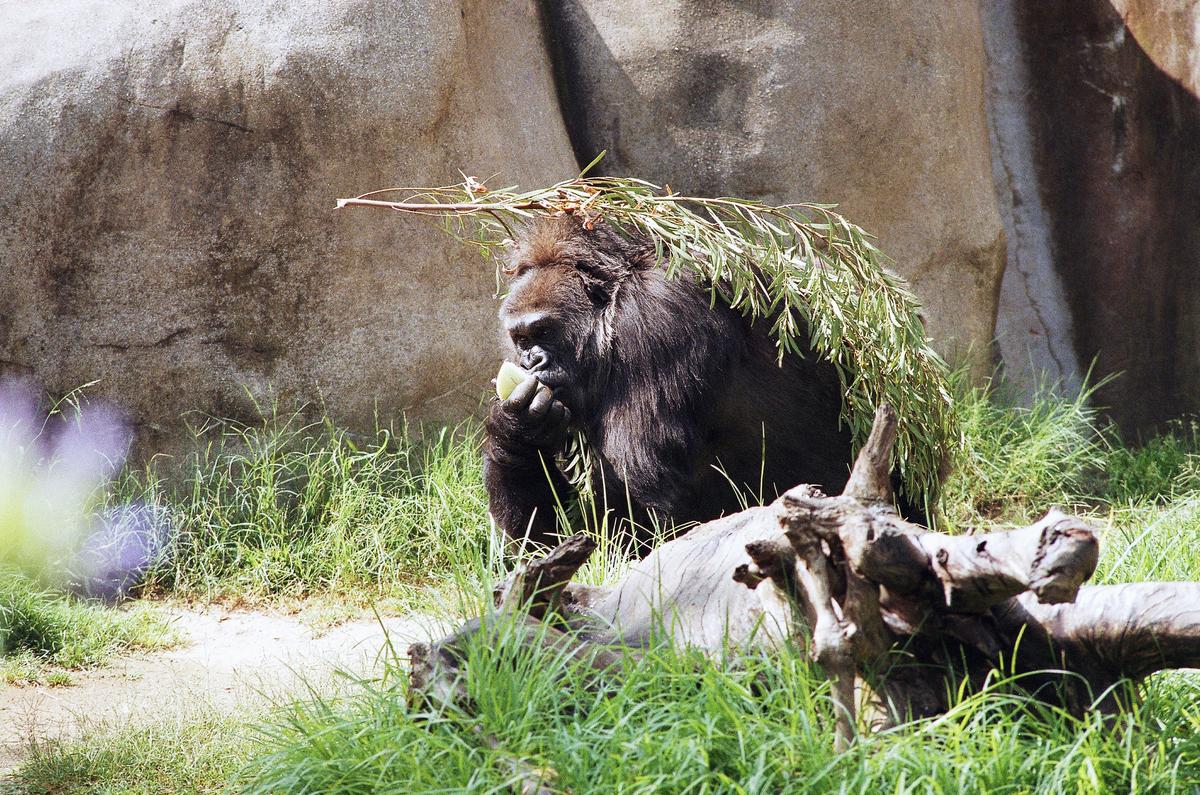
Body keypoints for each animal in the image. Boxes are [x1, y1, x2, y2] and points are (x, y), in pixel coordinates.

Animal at [484, 214, 902, 552]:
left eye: (544, 331)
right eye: (521, 339)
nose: (531, 361)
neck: (613, 303)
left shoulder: (657, 319)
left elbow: (643, 502)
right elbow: (547, 541)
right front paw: (517, 429)